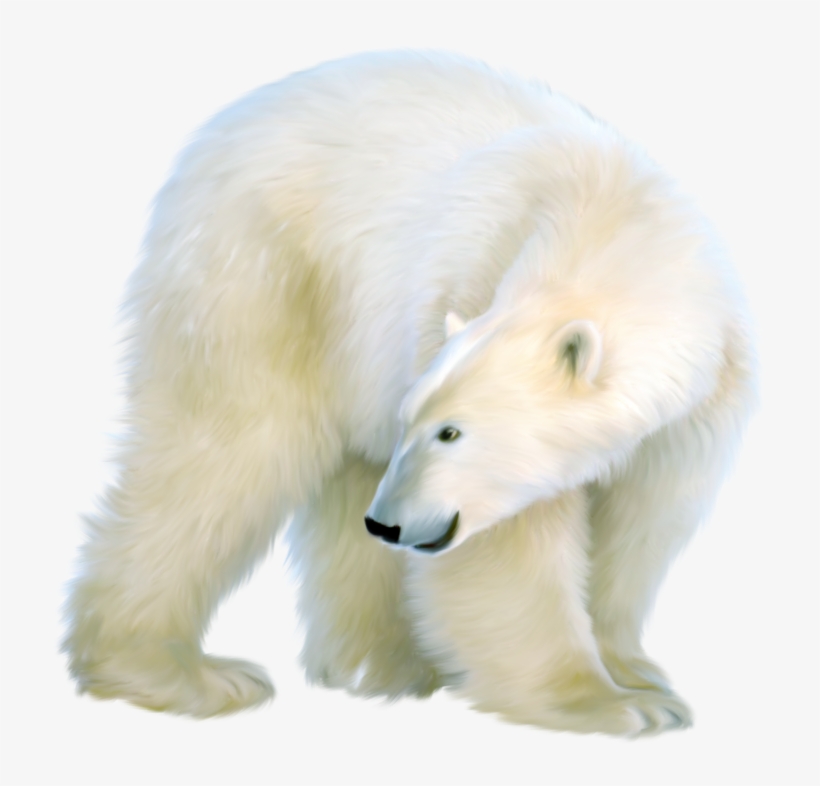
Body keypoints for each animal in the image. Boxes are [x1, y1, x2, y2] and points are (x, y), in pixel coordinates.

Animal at [63, 50, 757, 736]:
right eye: (428, 425)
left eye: (449, 431)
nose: (387, 522)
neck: (615, 215)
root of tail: (222, 125)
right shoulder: (469, 281)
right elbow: (509, 550)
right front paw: (607, 703)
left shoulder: (699, 405)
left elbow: (640, 526)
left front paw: (640, 677)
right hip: (262, 275)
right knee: (227, 455)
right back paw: (177, 672)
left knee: (340, 474)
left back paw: (382, 663)